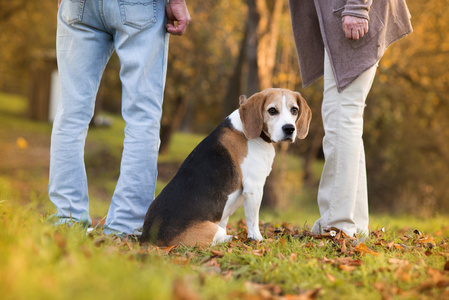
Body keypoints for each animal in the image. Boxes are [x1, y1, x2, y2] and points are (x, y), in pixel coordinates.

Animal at [141, 87, 312, 246]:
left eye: (294, 110)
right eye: (272, 110)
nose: (289, 128)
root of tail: (147, 238)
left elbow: (226, 218)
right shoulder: (254, 187)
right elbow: (253, 221)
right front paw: (257, 239)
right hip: (212, 230)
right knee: (220, 235)